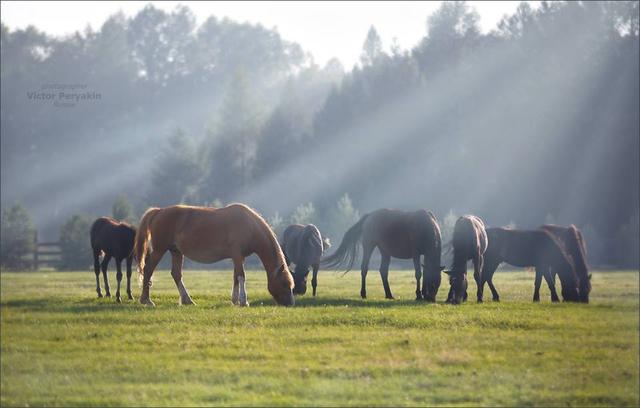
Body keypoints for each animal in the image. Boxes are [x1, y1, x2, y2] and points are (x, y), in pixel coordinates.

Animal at [135, 204, 296, 306]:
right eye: (284, 283)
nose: (290, 303)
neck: (249, 226)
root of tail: (159, 211)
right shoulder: (237, 255)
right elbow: (241, 276)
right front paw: (244, 301)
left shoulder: (239, 258)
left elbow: (236, 277)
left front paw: (235, 300)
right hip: (159, 250)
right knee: (148, 270)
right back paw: (146, 300)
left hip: (176, 252)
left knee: (176, 274)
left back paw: (187, 300)